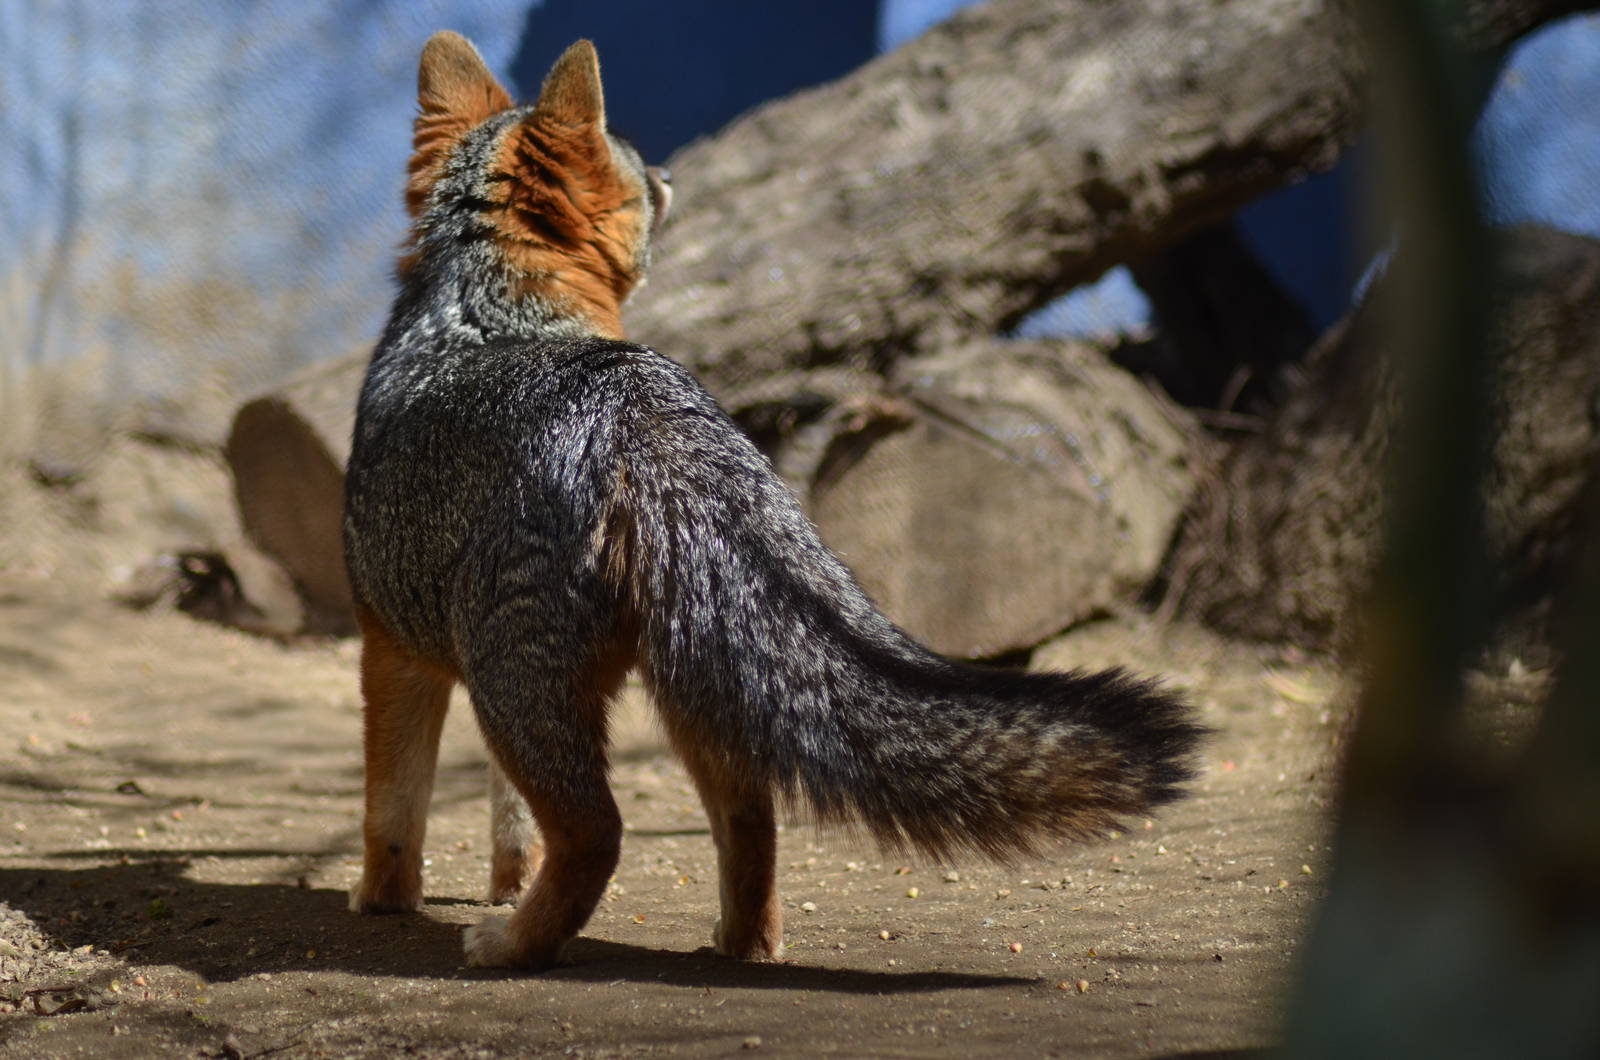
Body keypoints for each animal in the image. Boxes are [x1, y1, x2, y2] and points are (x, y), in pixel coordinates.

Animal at [342, 31, 1206, 971]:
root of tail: (640, 404)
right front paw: (501, 879)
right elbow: (504, 823)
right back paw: (740, 944)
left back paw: (514, 944)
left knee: (598, 834)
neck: (493, 309)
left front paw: (381, 898)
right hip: (687, 680)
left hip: (525, 686)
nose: (672, 176)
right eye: (640, 166)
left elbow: (393, 810)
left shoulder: (390, 645)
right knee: (752, 823)